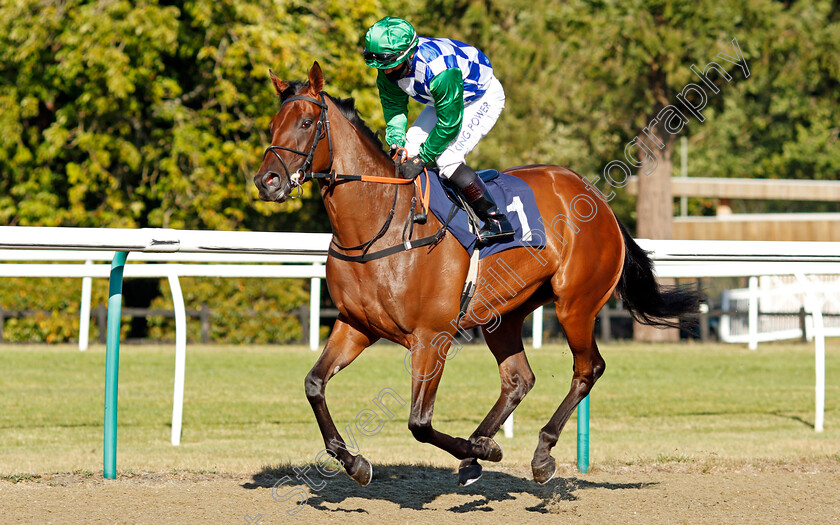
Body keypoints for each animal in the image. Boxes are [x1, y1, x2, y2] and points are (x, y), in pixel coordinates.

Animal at [253, 62, 700, 488]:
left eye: (306, 123)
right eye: (272, 124)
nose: (266, 181)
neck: (378, 225)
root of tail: (599, 202)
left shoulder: (432, 337)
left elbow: (419, 422)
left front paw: (482, 450)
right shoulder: (355, 325)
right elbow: (314, 384)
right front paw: (356, 463)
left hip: (576, 305)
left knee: (587, 370)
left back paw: (538, 453)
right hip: (503, 314)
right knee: (519, 379)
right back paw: (479, 448)